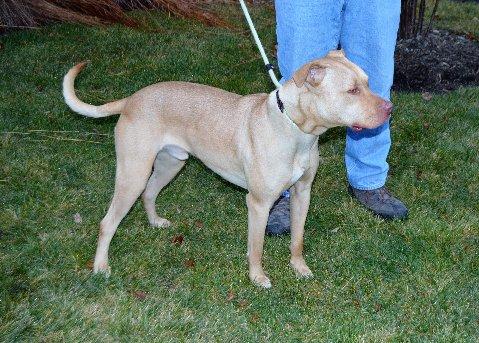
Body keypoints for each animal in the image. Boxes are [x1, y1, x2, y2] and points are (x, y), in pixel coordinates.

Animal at [62, 49, 394, 288]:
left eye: (367, 82)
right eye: (352, 91)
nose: (390, 108)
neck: (296, 129)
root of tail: (131, 99)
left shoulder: (302, 194)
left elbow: (297, 240)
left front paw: (299, 269)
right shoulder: (258, 204)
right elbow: (256, 248)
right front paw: (257, 278)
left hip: (170, 164)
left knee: (150, 194)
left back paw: (155, 222)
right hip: (133, 174)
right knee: (107, 222)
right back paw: (101, 267)